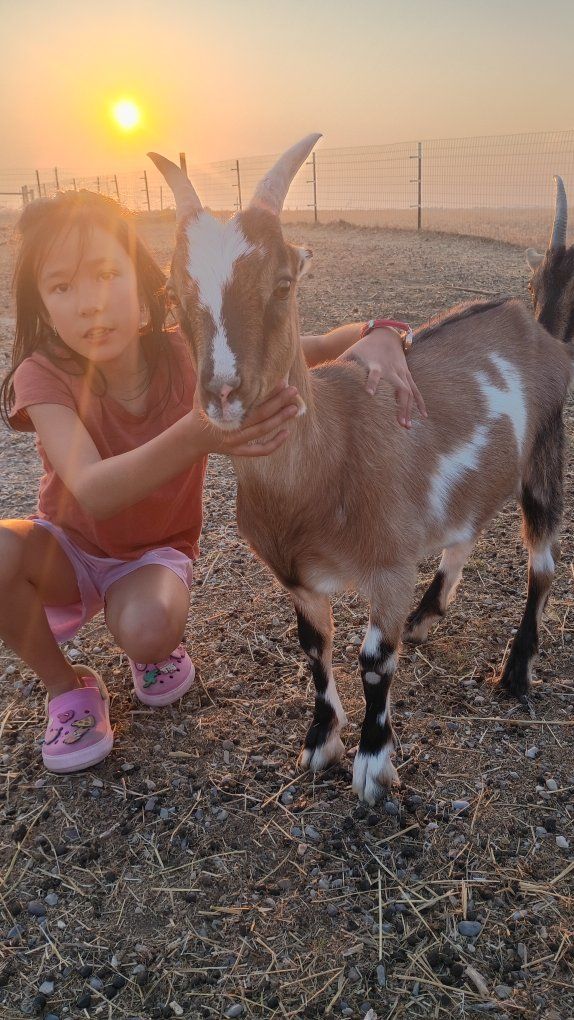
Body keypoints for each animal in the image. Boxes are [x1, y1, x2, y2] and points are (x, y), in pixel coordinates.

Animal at [149, 136, 572, 804]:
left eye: (284, 282)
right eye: (172, 292)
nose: (223, 394)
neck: (330, 460)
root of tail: (536, 328)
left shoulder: (389, 566)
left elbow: (374, 658)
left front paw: (373, 764)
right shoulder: (296, 578)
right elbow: (313, 647)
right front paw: (320, 741)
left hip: (545, 453)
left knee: (543, 563)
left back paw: (514, 672)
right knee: (465, 528)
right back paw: (427, 617)